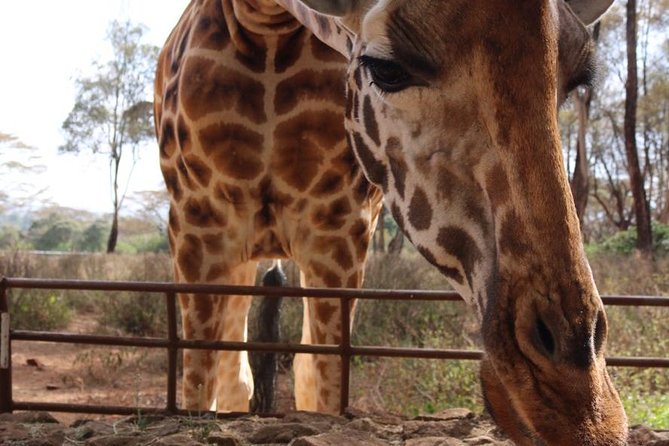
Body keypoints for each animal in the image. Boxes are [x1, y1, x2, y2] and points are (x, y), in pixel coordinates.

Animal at [154, 0, 628, 444]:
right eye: (388, 69)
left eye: (577, 79)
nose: (581, 410)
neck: (267, 25)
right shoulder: (197, 226)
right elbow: (199, 388)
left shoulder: (340, 231)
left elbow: (321, 383)